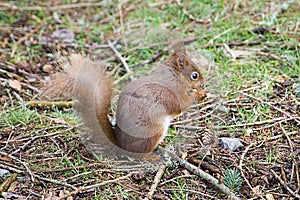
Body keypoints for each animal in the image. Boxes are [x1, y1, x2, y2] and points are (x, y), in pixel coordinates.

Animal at [42, 49, 206, 158]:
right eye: (194, 75)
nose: (203, 83)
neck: (175, 75)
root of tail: (120, 146)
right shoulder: (175, 93)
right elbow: (183, 105)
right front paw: (200, 94)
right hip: (153, 132)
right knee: (141, 156)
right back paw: (152, 157)